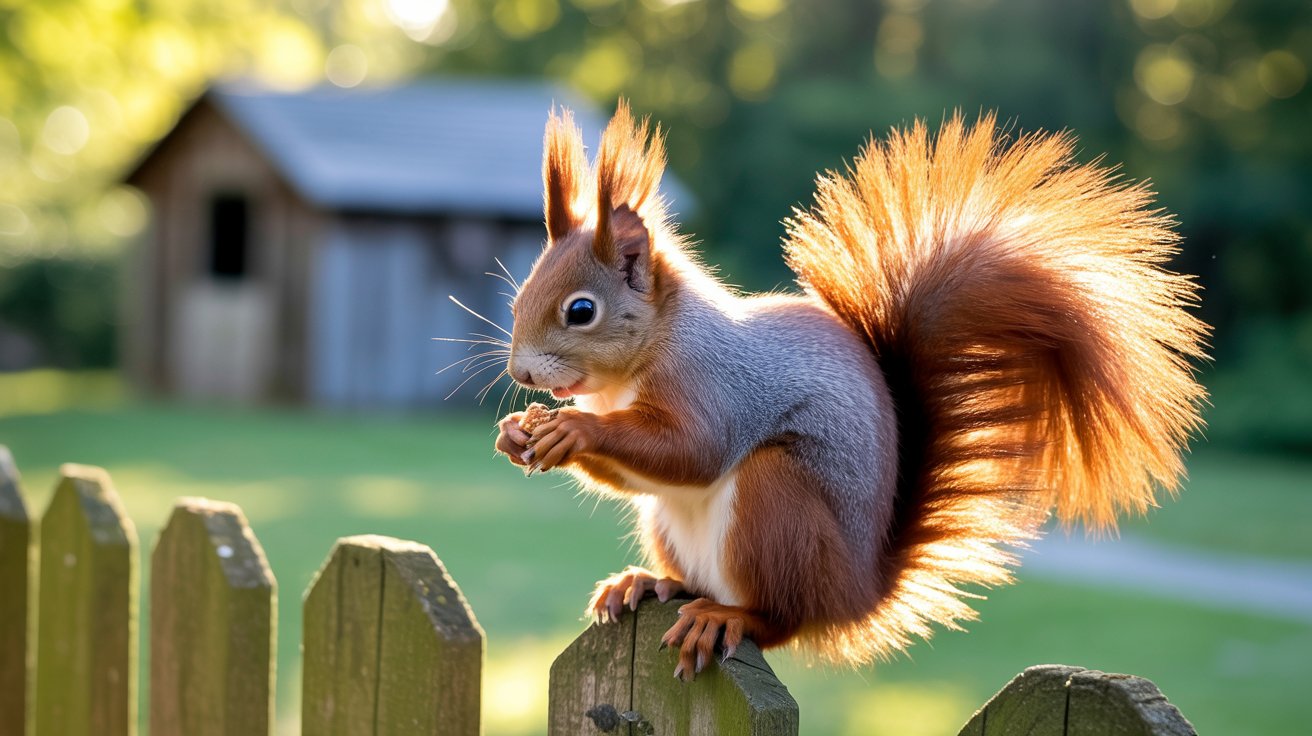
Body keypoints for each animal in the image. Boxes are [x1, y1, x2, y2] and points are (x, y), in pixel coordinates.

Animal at [493, 101, 1207, 680]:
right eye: (525, 288)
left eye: (581, 311)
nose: (521, 374)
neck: (631, 372)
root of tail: (858, 592)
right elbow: (638, 473)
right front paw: (519, 433)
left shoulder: (713, 382)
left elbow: (693, 451)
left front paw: (573, 429)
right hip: (671, 525)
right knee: (693, 575)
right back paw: (651, 584)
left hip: (777, 503)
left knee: (779, 619)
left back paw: (728, 617)